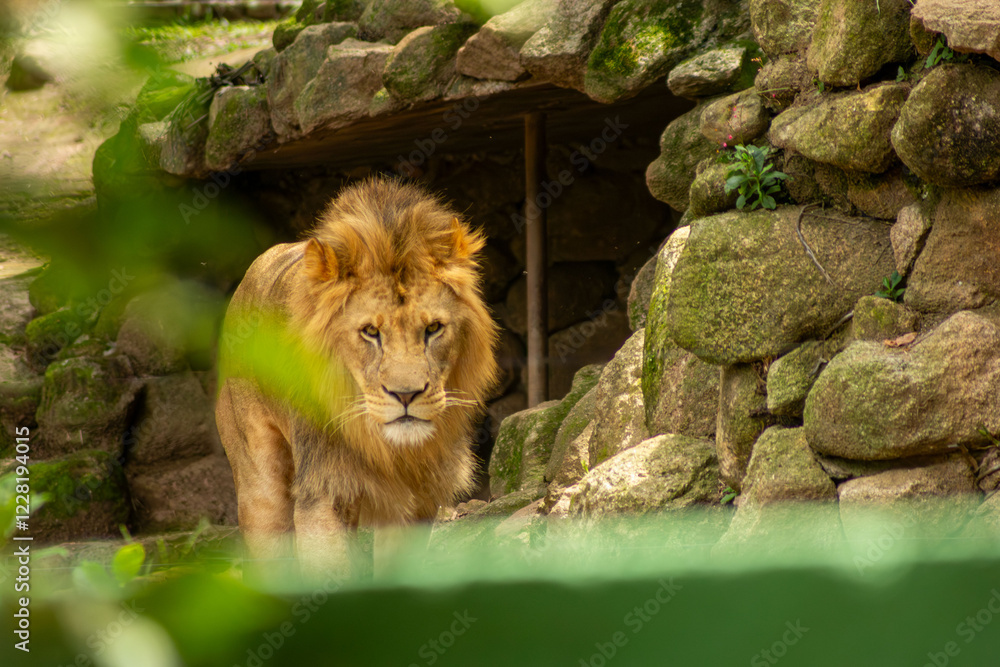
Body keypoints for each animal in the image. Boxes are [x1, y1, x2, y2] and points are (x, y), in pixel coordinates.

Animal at [215, 177, 499, 579]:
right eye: (370, 332)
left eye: (433, 328)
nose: (406, 395)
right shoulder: (323, 490)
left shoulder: (420, 500)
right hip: (260, 486)